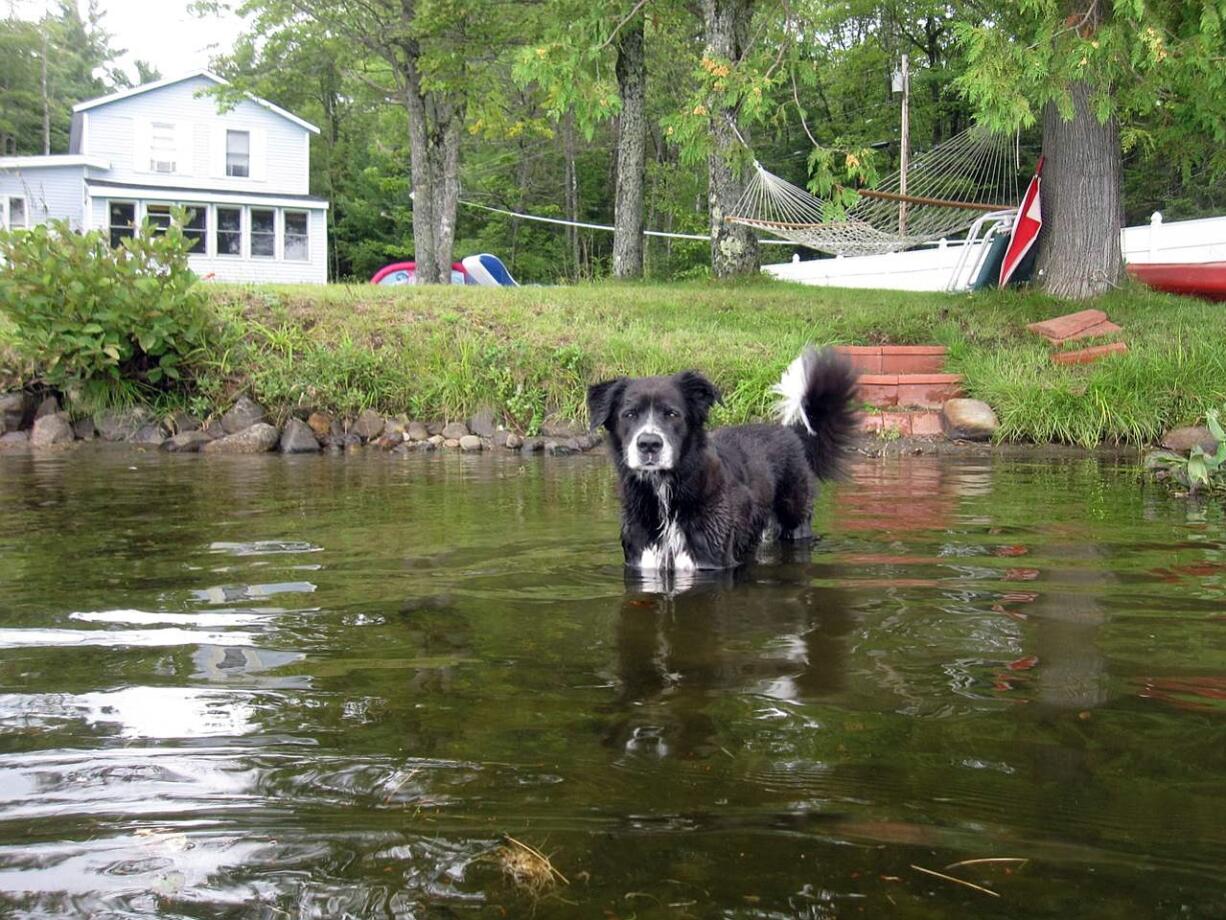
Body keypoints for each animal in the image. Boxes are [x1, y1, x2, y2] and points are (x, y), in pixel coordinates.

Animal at [586, 348, 858, 574]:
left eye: (672, 414)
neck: (665, 495)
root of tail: (791, 432)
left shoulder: (711, 561)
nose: (649, 444)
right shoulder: (643, 560)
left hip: (796, 518)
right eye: (629, 414)